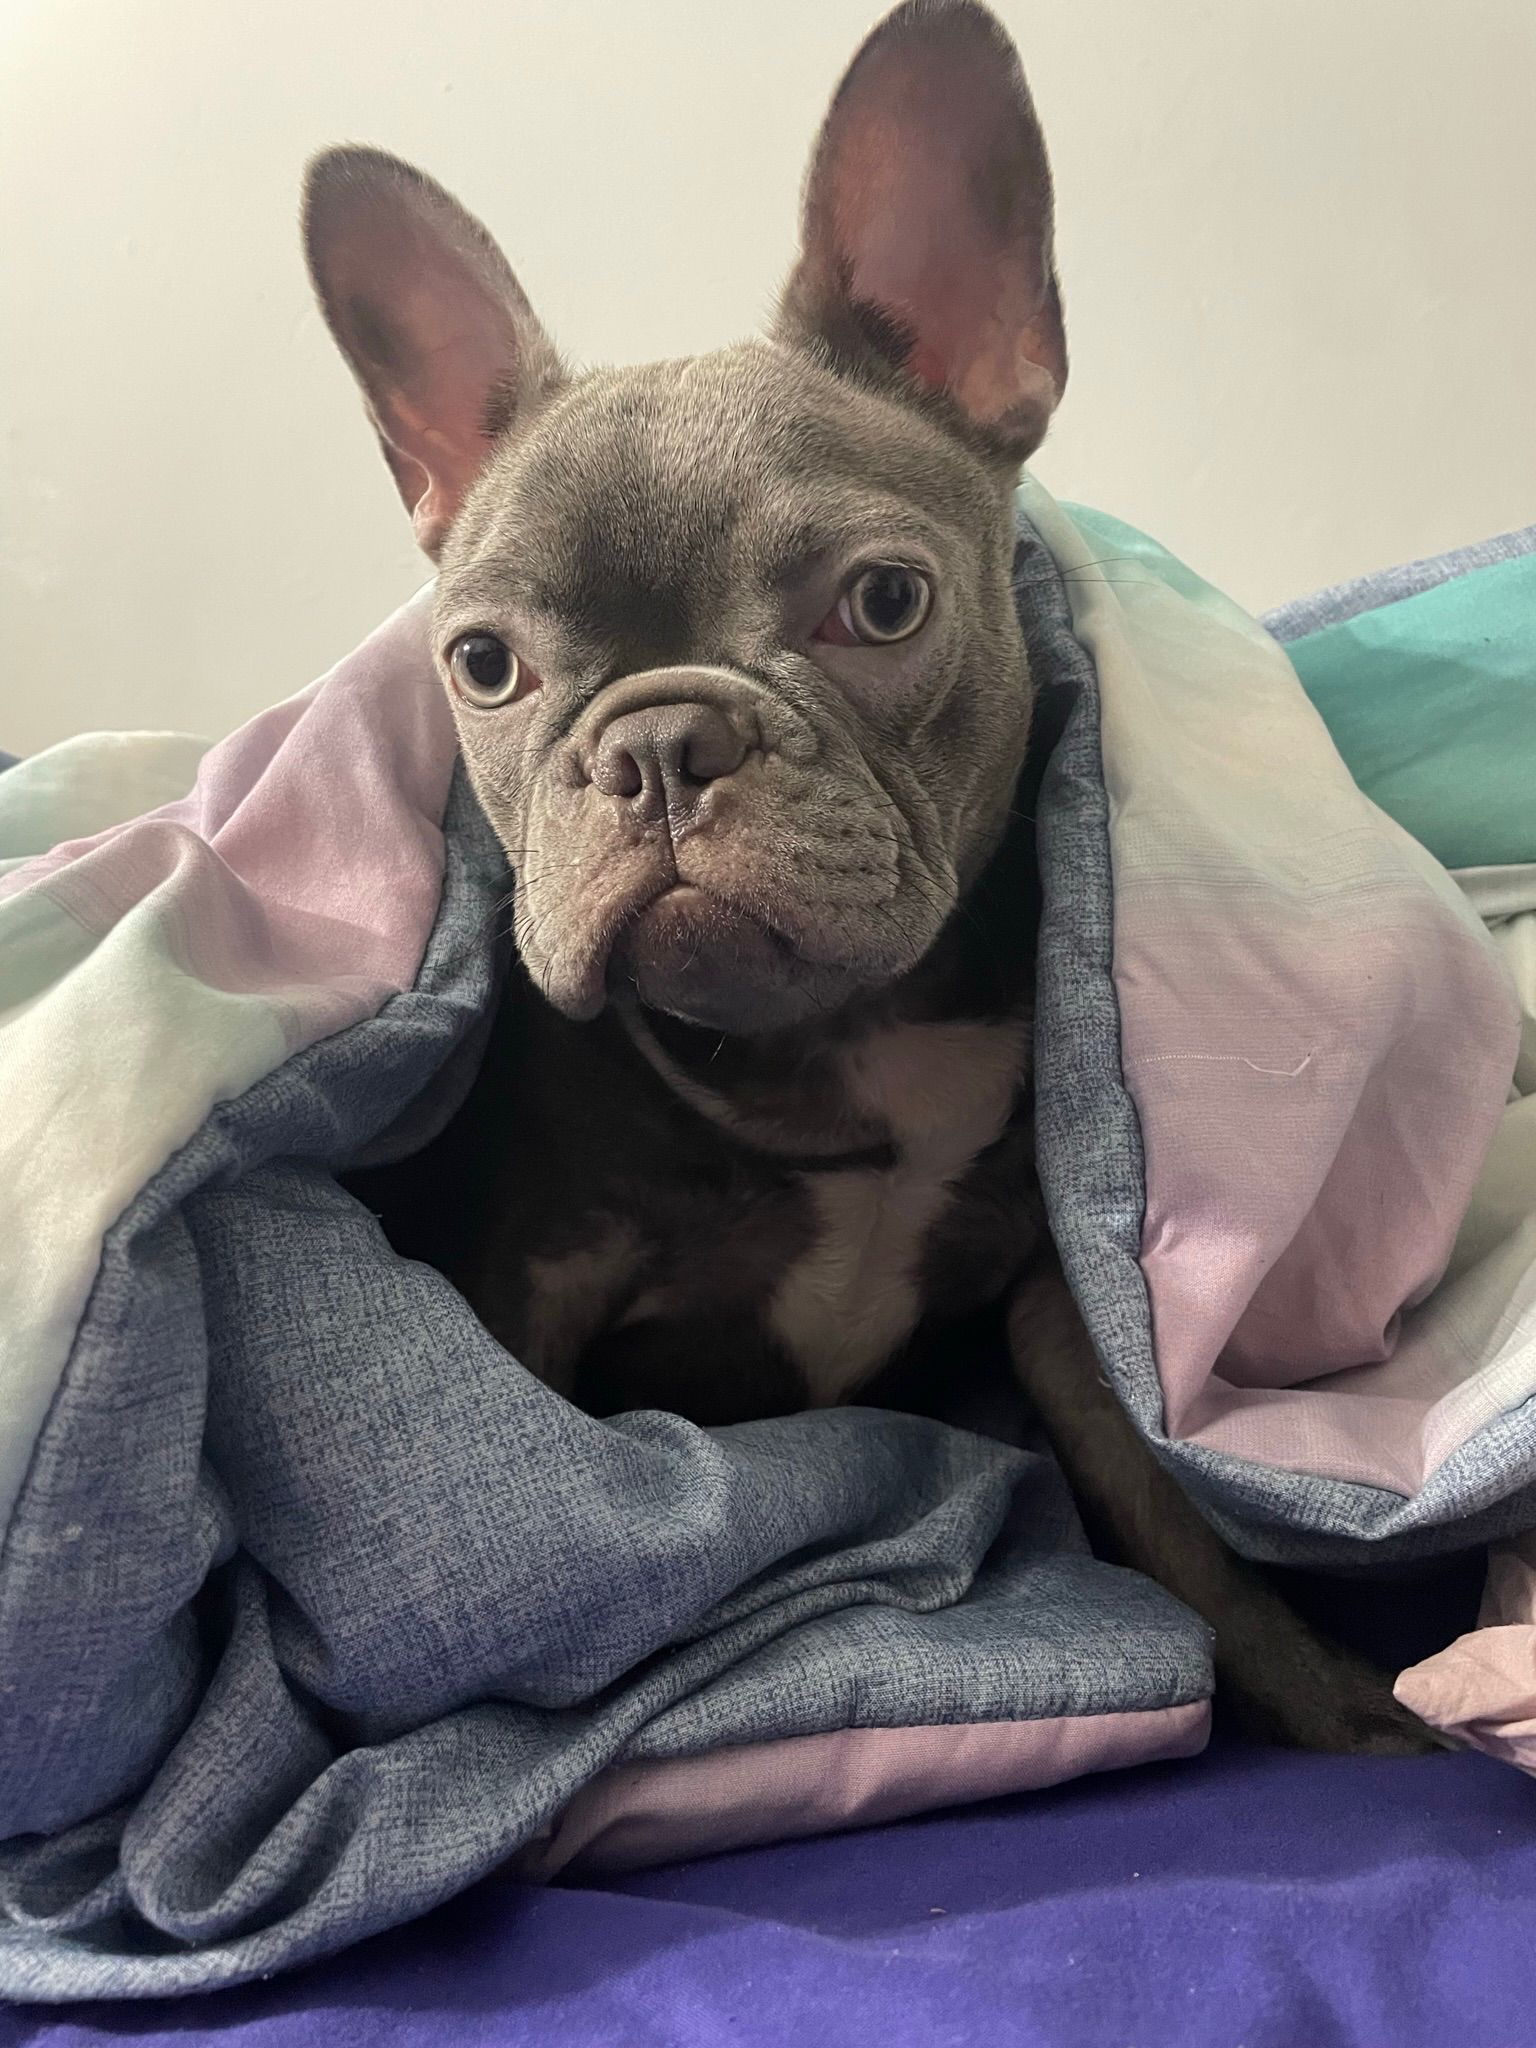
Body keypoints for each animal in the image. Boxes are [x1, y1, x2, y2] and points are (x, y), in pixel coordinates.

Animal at [311, 0, 1436, 1753]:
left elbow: (1179, 1522)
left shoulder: (1061, 1311)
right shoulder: (535, 1289)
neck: (839, 1048)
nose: (659, 743)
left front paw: (1338, 1700)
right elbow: (564, 1518)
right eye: (484, 667)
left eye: (886, 601)